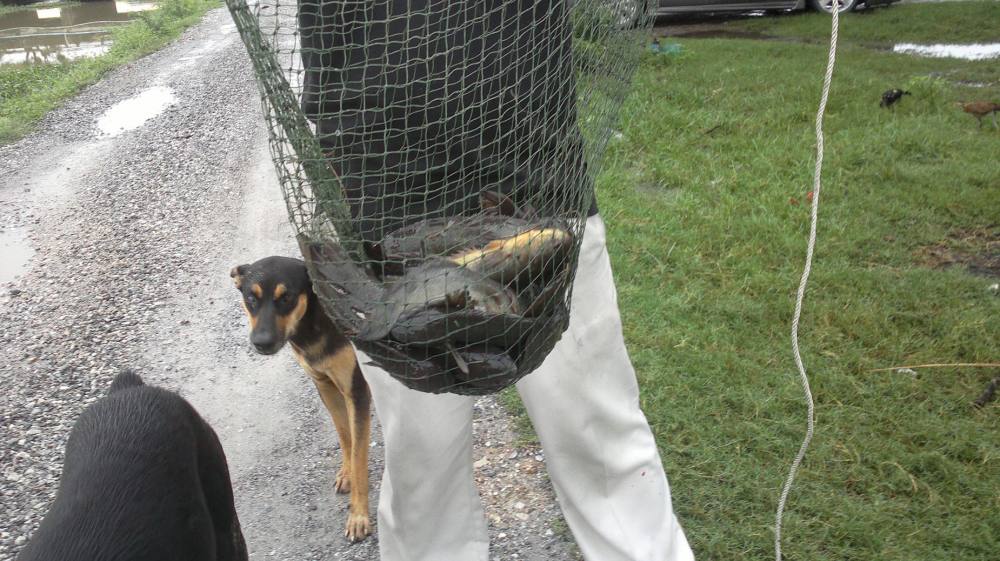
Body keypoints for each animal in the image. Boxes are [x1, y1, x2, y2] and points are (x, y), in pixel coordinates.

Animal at [230, 256, 372, 540]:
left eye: (287, 298)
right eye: (251, 298)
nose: (261, 343)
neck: (314, 326)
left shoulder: (357, 390)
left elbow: (359, 455)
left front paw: (358, 516)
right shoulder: (325, 385)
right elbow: (346, 436)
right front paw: (347, 474)